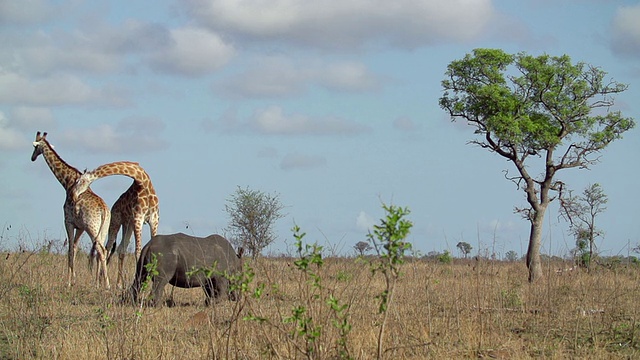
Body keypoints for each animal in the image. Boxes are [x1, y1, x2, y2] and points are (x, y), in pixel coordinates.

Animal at [30, 131, 110, 288]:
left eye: (36, 147)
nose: (32, 158)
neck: (67, 182)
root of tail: (103, 209)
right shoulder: (80, 227)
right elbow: (75, 247)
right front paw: (73, 279)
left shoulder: (68, 221)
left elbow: (70, 250)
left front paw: (68, 282)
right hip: (103, 229)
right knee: (101, 251)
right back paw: (97, 283)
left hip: (92, 227)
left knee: (101, 250)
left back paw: (107, 284)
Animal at [70, 160, 159, 290]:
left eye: (80, 181)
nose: (73, 195)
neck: (143, 181)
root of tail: (113, 206)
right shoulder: (138, 218)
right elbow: (138, 250)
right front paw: (141, 283)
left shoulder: (154, 219)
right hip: (116, 223)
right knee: (107, 249)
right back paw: (103, 281)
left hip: (128, 225)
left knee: (121, 248)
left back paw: (119, 284)